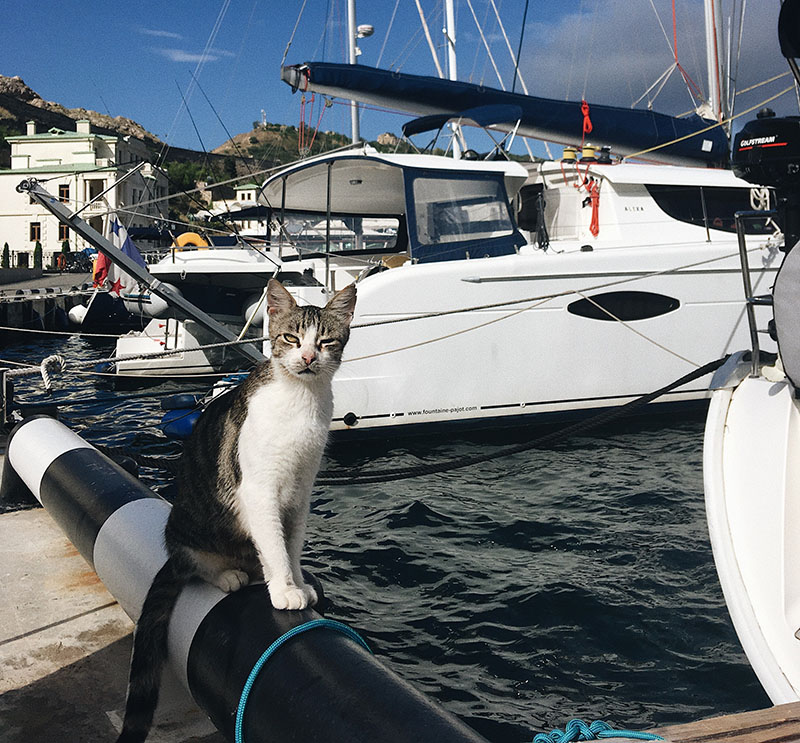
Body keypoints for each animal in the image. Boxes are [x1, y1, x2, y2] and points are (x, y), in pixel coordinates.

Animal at [115, 280, 356, 743]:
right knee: (195, 564)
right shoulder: (260, 490)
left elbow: (291, 544)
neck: (300, 400)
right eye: (291, 338)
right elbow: (275, 546)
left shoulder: (301, 491)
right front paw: (284, 589)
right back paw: (228, 574)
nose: (308, 358)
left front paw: (297, 581)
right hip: (186, 531)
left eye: (326, 341)